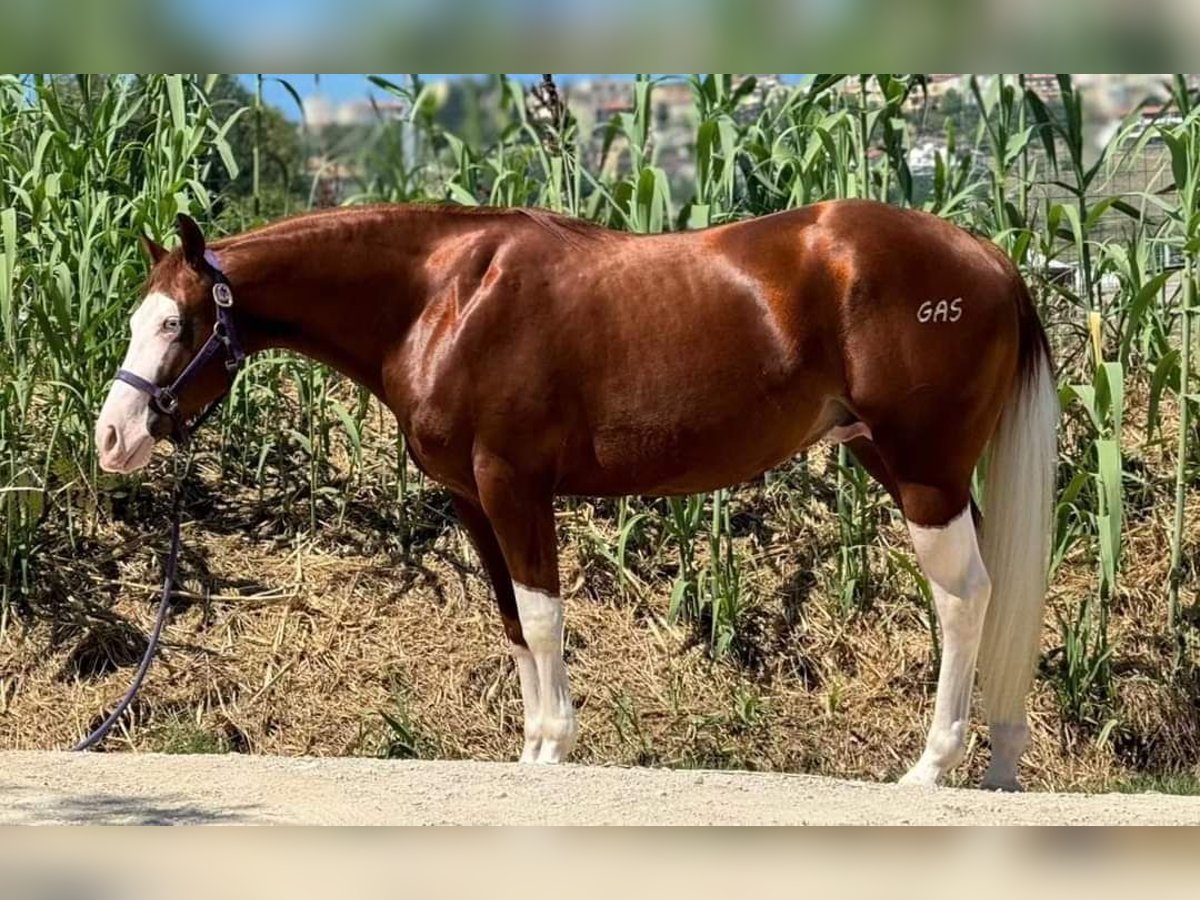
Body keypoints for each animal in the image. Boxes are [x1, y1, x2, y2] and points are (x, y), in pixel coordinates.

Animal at [96, 202, 1060, 787]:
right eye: (138, 319)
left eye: (176, 322)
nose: (113, 437)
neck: (443, 298)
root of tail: (990, 259)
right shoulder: (473, 500)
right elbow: (514, 624)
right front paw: (530, 750)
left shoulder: (514, 485)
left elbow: (546, 615)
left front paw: (557, 746)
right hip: (903, 466)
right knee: (999, 589)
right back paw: (999, 762)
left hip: (924, 471)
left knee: (964, 598)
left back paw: (932, 766)